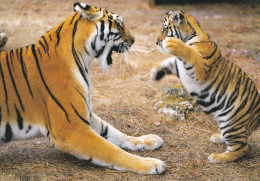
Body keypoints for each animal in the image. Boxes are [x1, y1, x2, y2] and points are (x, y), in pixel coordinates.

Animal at [0, 1, 166, 174]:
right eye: (119, 25)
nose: (133, 40)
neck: (83, 57)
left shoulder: (85, 113)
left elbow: (115, 132)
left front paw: (148, 139)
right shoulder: (71, 129)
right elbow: (113, 151)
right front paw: (150, 163)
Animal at [151, 10, 258, 163]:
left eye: (165, 29)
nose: (156, 42)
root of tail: (256, 117)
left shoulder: (200, 69)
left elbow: (190, 53)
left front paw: (173, 44)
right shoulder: (179, 67)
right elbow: (169, 62)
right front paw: (155, 72)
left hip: (231, 123)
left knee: (242, 148)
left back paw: (217, 157)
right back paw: (217, 137)